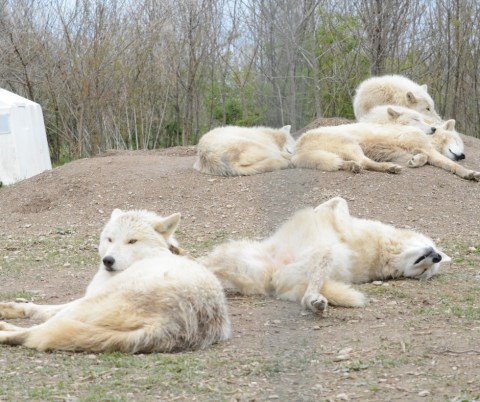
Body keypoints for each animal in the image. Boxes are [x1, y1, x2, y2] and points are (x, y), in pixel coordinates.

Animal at [0, 209, 231, 354]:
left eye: (132, 241)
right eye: (109, 239)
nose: (107, 260)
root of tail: (172, 323)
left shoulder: (87, 298)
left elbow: (44, 313)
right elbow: (37, 308)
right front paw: (9, 307)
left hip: (88, 306)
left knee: (36, 332)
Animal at [200, 197, 450, 314]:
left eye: (426, 272)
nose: (437, 257)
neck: (384, 251)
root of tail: (274, 277)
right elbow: (339, 203)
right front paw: (323, 212)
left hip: (323, 257)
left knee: (307, 297)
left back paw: (316, 303)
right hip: (231, 257)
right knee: (205, 264)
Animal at [290, 119, 478, 181]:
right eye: (458, 141)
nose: (463, 155)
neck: (430, 136)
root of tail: (297, 148)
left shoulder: (404, 154)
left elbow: (422, 158)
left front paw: (415, 161)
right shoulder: (426, 148)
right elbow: (450, 164)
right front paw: (469, 173)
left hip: (336, 155)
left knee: (352, 163)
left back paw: (353, 167)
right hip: (351, 144)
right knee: (365, 163)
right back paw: (389, 168)